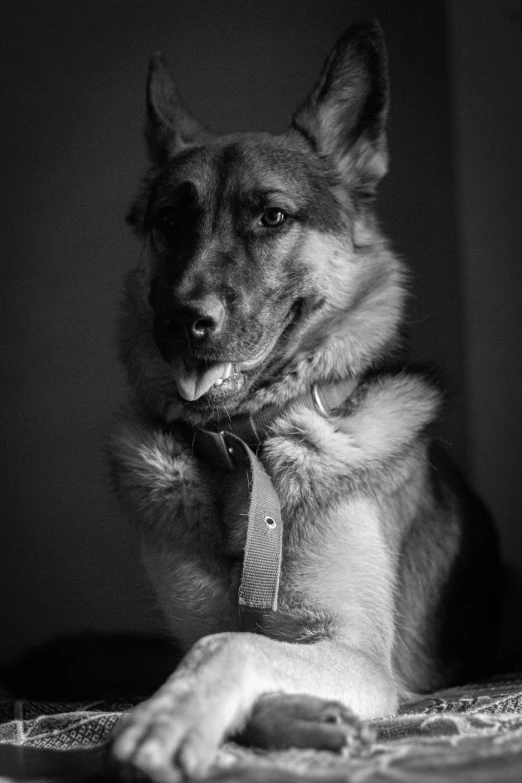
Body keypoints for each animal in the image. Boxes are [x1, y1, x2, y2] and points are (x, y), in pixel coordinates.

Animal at [107, 21, 498, 783]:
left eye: (272, 216)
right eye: (169, 220)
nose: (182, 321)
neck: (244, 449)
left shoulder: (358, 651)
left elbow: (232, 645)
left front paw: (166, 723)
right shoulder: (214, 632)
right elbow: (215, 647)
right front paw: (296, 715)